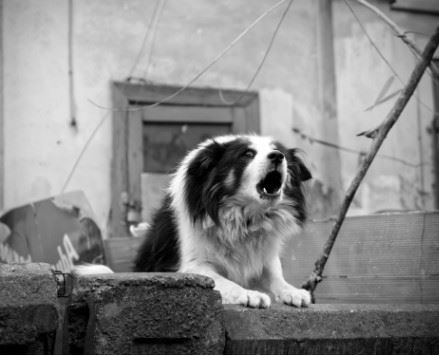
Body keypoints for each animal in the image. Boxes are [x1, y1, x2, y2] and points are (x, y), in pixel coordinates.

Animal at [132, 135, 312, 308]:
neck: (246, 219)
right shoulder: (192, 265)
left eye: (279, 151)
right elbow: (224, 282)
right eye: (248, 154)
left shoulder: (265, 254)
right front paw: (250, 295)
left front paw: (293, 292)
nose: (277, 156)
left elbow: (276, 276)